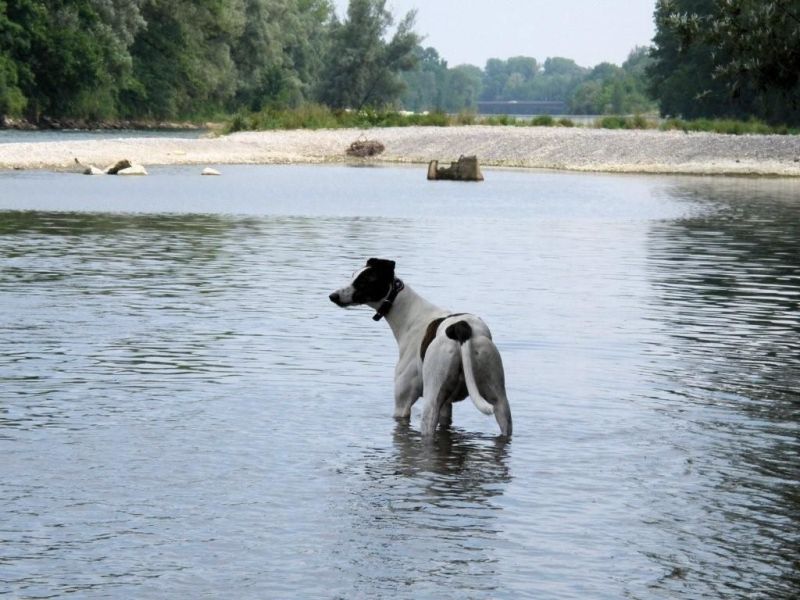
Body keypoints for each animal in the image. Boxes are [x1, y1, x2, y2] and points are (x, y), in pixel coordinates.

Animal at [329, 258, 512, 438]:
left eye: (363, 281)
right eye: (353, 275)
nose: (333, 296)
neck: (409, 315)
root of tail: (461, 327)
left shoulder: (402, 405)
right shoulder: (446, 406)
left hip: (431, 402)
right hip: (499, 401)